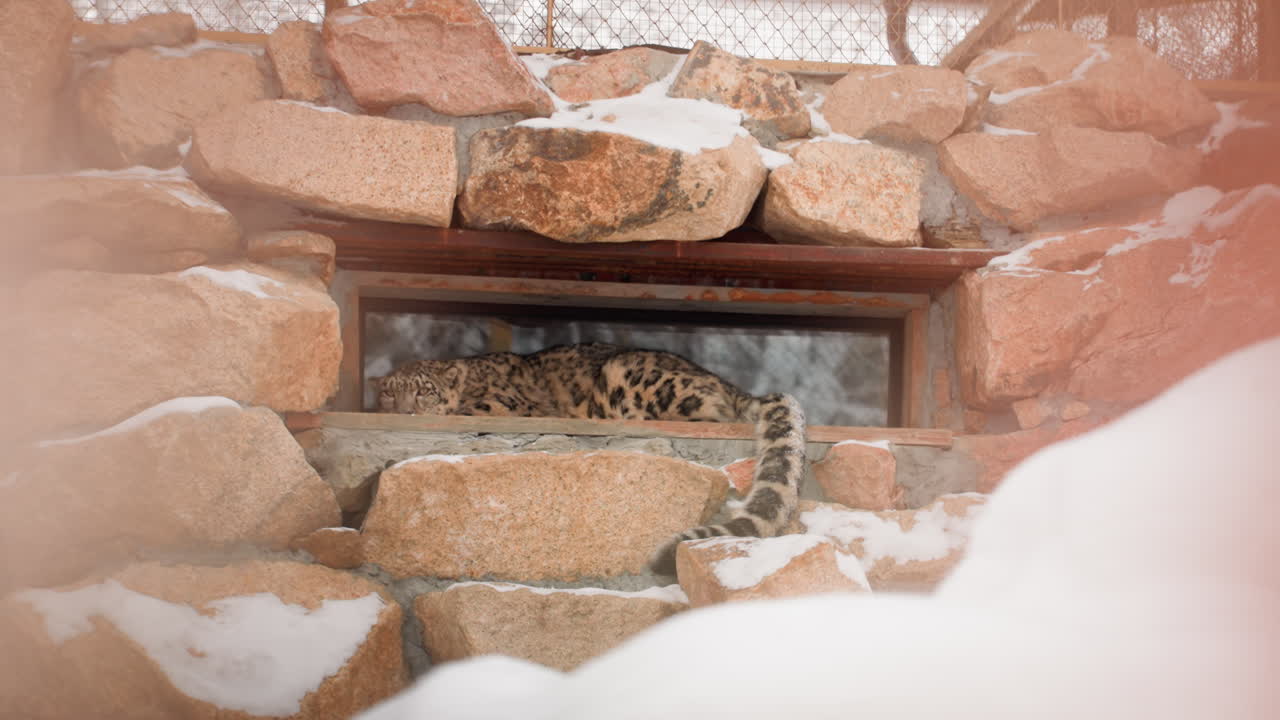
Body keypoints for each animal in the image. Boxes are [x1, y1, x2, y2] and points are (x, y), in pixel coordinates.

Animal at [375, 342, 807, 575]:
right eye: (388, 393)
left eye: (424, 391)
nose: (403, 411)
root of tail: (728, 385)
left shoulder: (503, 406)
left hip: (636, 378)